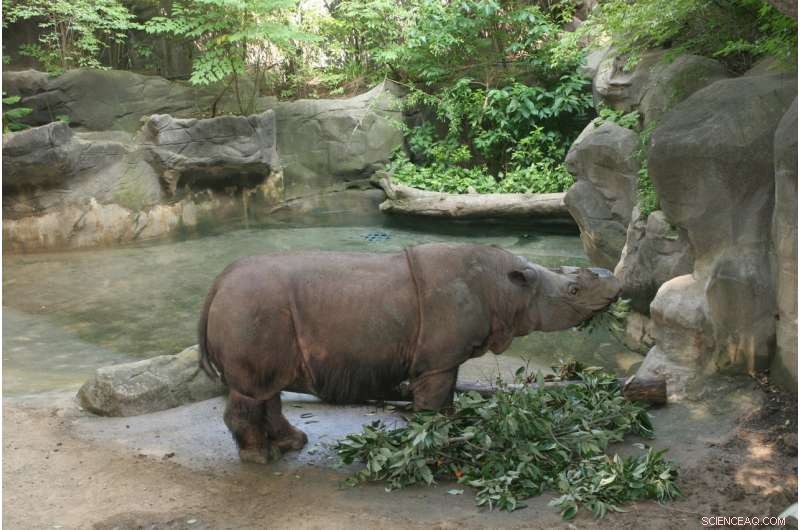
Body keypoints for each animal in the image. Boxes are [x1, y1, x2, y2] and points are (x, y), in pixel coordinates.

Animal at [199, 243, 620, 463]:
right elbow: (435, 400)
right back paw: (259, 458)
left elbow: (446, 396)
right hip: (252, 306)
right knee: (253, 390)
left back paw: (292, 444)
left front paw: (452, 431)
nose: (614, 285)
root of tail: (217, 284)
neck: (508, 289)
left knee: (267, 388)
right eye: (573, 292)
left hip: (257, 310)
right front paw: (435, 441)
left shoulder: (443, 357)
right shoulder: (437, 361)